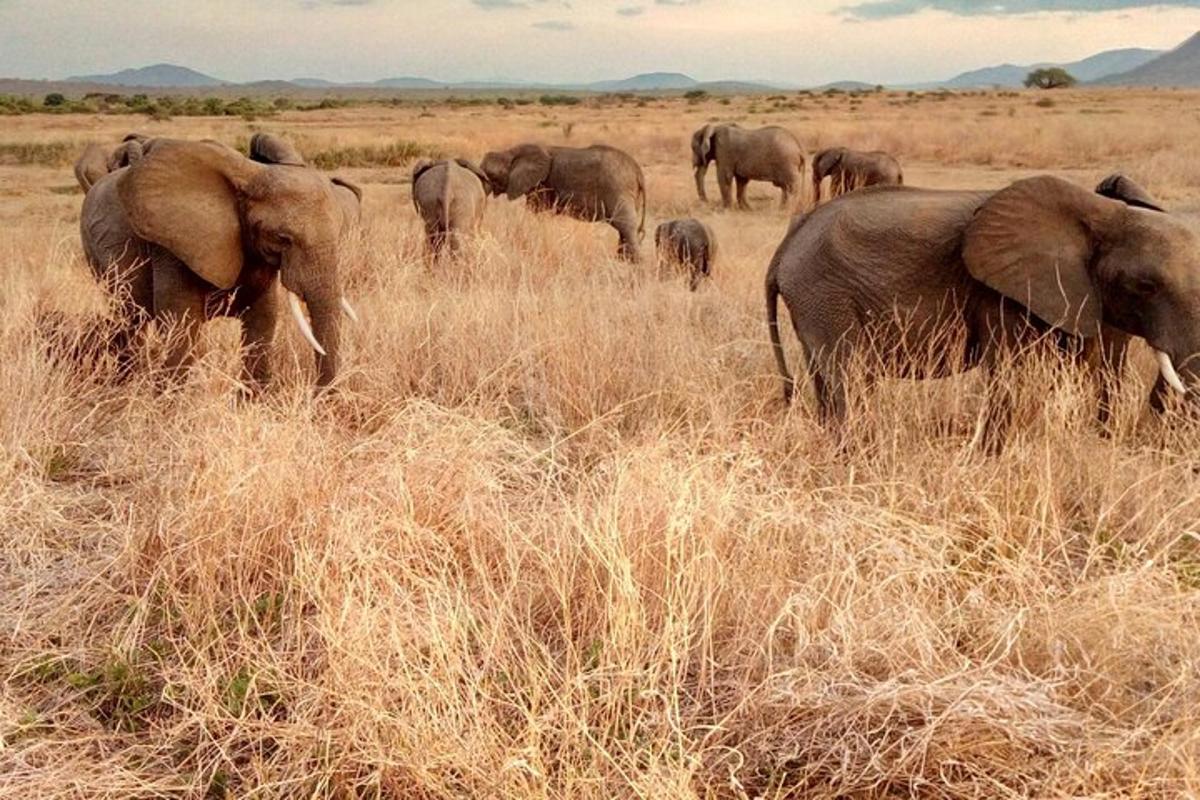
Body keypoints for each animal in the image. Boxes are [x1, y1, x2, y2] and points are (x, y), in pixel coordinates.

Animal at [78, 140, 355, 391]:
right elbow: (182, 326)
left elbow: (263, 321)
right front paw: (167, 405)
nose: (318, 396)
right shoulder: (173, 245)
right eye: (282, 238)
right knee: (130, 317)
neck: (250, 176)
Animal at [477, 140, 648, 260]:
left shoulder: (541, 184)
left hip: (619, 189)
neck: (510, 152)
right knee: (623, 230)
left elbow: (535, 212)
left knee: (626, 226)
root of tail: (638, 170)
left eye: (491, 176)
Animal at [768, 176, 1200, 450]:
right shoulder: (1003, 293)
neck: (1104, 214)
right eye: (1145, 286)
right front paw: (993, 457)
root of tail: (788, 242)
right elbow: (1012, 374)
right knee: (850, 378)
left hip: (815, 301)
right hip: (824, 294)